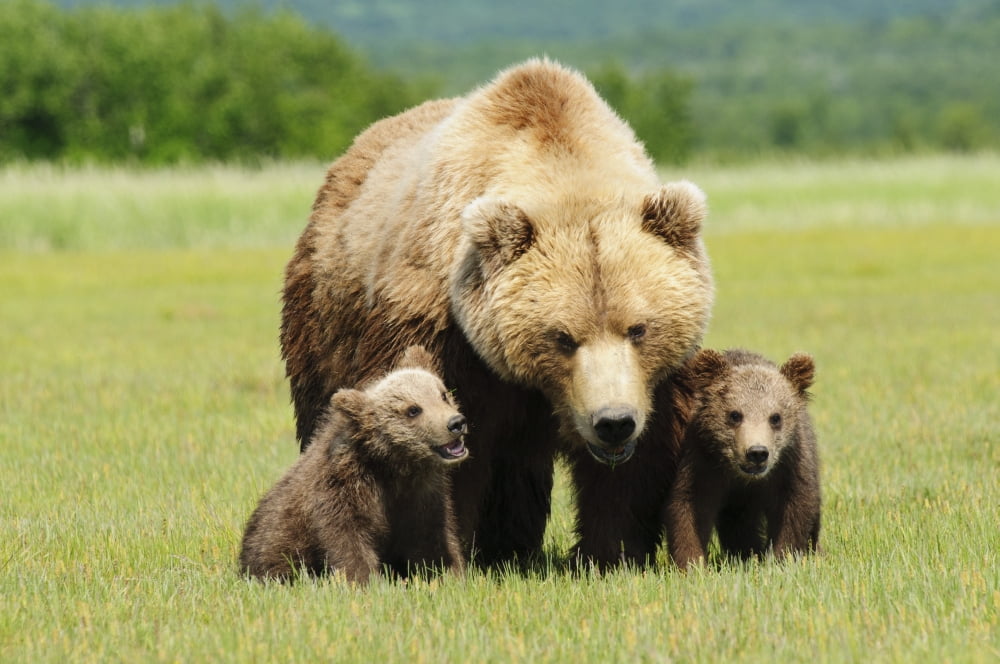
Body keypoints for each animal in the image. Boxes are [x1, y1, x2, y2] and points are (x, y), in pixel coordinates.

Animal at [239, 345, 469, 583]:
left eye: (443, 394)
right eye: (413, 409)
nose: (455, 423)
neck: (394, 465)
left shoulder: (423, 496)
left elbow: (432, 538)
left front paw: (449, 573)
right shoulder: (343, 487)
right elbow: (349, 538)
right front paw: (365, 579)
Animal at [280, 58, 714, 569]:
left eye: (638, 328)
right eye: (562, 336)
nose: (612, 422)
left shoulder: (653, 382)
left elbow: (636, 466)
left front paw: (613, 552)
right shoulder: (442, 332)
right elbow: (441, 438)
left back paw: (512, 548)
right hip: (322, 315)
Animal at [662, 348, 821, 569]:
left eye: (776, 417)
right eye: (735, 415)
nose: (757, 452)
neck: (743, 478)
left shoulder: (789, 464)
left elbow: (795, 507)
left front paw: (781, 558)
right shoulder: (703, 460)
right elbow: (689, 506)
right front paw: (692, 563)